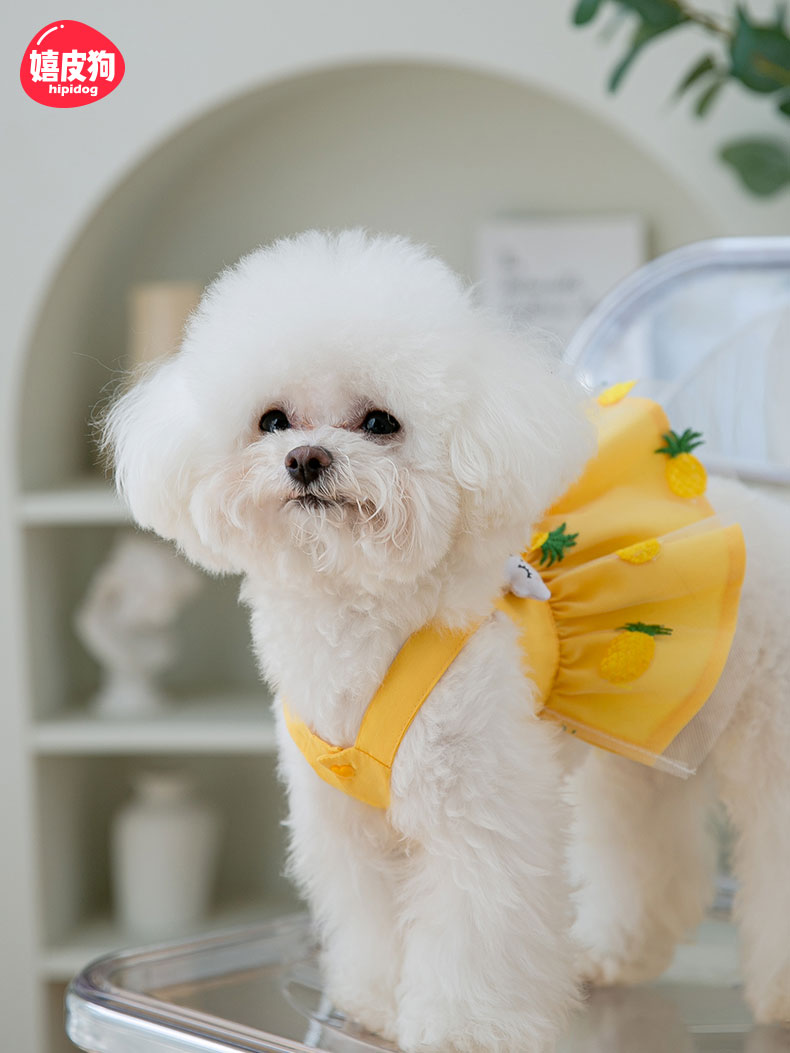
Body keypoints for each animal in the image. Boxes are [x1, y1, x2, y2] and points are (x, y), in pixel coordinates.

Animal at [103, 232, 790, 1053]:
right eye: (271, 420)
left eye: (379, 422)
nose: (306, 458)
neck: (358, 623)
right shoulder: (350, 828)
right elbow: (372, 923)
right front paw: (374, 1004)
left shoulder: (480, 814)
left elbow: (475, 937)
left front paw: (463, 1030)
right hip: (645, 745)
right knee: (650, 855)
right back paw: (613, 955)